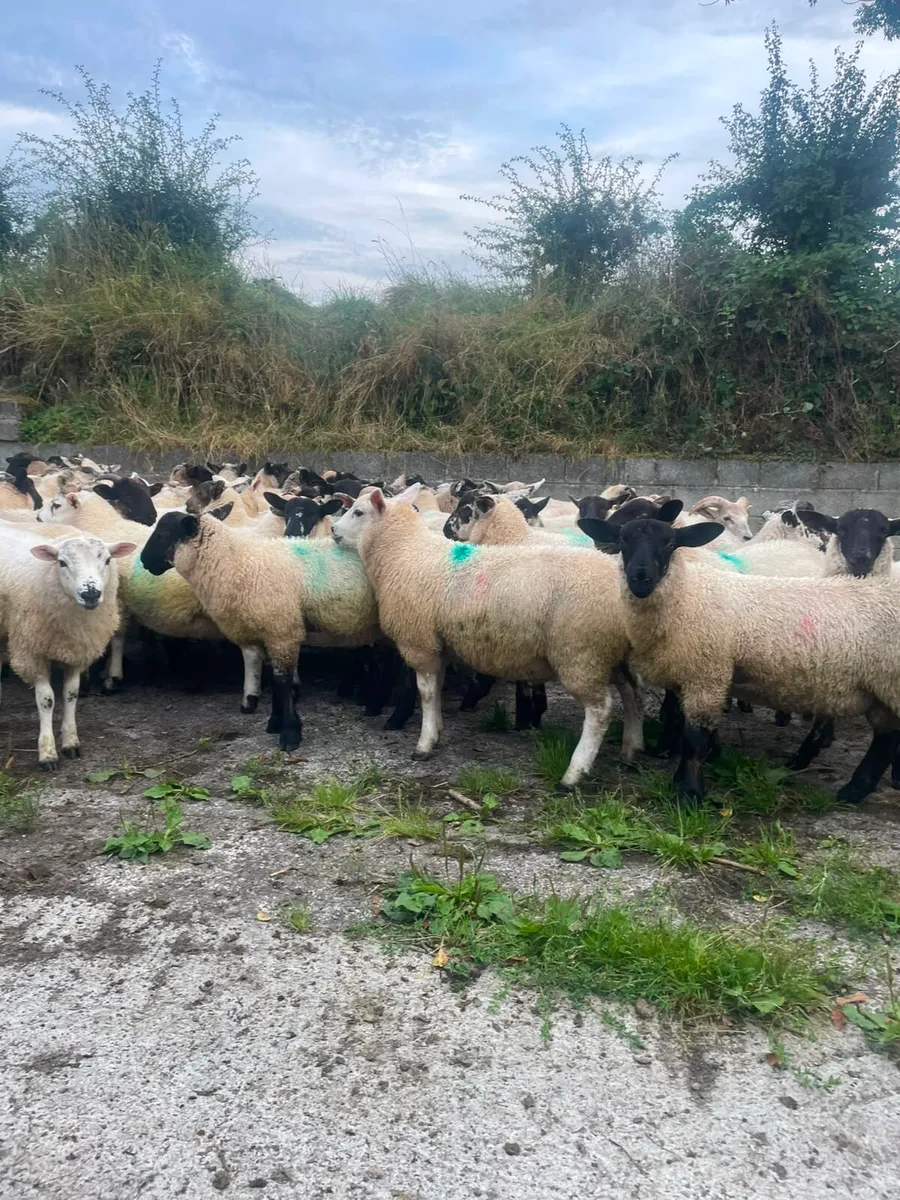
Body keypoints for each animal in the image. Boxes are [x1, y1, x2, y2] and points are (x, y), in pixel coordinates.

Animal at [0, 528, 134, 767]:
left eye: (108, 560)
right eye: (61, 562)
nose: (90, 594)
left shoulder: (76, 652)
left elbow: (71, 694)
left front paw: (71, 742)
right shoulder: (32, 654)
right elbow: (46, 700)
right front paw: (47, 752)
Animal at [138, 510, 381, 749]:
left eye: (164, 534)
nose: (143, 560)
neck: (237, 562)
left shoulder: (283, 631)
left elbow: (282, 682)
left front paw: (290, 733)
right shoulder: (270, 632)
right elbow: (274, 680)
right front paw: (275, 722)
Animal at [331, 485, 643, 787]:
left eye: (358, 512)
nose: (333, 530)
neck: (403, 552)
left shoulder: (420, 642)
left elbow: (427, 693)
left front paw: (425, 743)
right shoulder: (440, 643)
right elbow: (437, 688)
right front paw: (438, 730)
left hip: (580, 652)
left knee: (601, 710)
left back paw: (574, 774)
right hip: (611, 653)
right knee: (631, 693)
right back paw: (632, 750)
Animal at [588, 511, 900, 805]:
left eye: (669, 542)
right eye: (623, 540)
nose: (640, 577)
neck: (687, 596)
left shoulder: (707, 674)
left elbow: (694, 738)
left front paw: (690, 795)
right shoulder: (684, 673)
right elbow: (680, 725)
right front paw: (679, 777)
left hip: (889, 681)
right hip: (880, 687)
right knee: (885, 738)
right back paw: (854, 791)